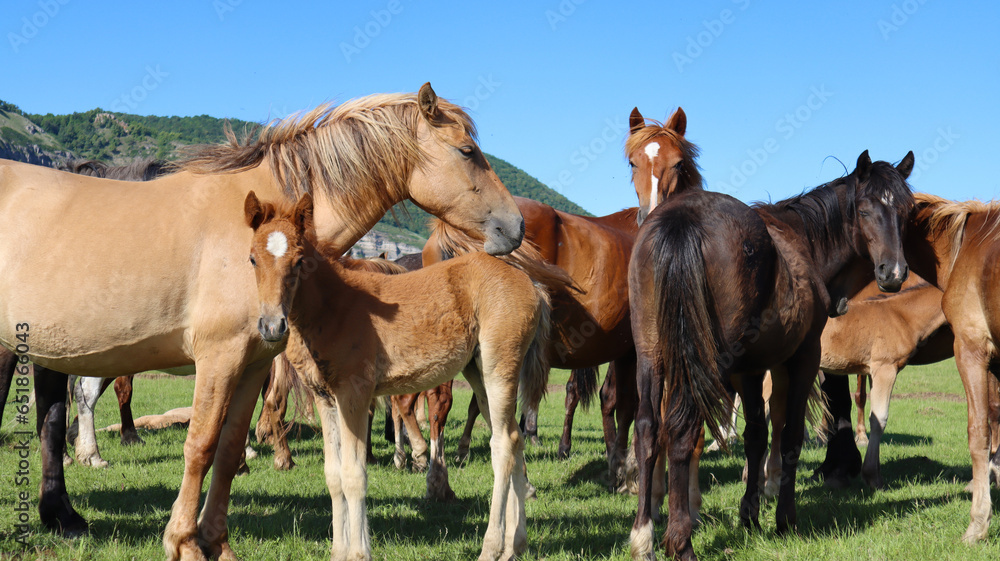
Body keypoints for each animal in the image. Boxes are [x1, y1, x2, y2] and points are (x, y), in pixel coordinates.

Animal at [246, 189, 552, 560]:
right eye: (252, 259)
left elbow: (354, 474)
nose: (272, 326)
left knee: (504, 445)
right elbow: (333, 475)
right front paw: (338, 551)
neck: (331, 308)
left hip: (499, 366)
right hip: (478, 371)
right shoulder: (325, 398)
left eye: (300, 260)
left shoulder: (353, 394)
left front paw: (358, 552)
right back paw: (515, 545)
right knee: (513, 438)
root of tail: (530, 283)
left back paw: (491, 548)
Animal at [628, 151, 916, 556]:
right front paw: (785, 518)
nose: (894, 272)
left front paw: (749, 513)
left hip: (652, 355)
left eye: (905, 211)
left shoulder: (750, 369)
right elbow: (790, 435)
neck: (802, 239)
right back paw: (680, 541)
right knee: (682, 431)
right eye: (863, 209)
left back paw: (644, 536)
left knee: (648, 430)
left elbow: (756, 435)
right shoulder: (804, 358)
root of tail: (681, 218)